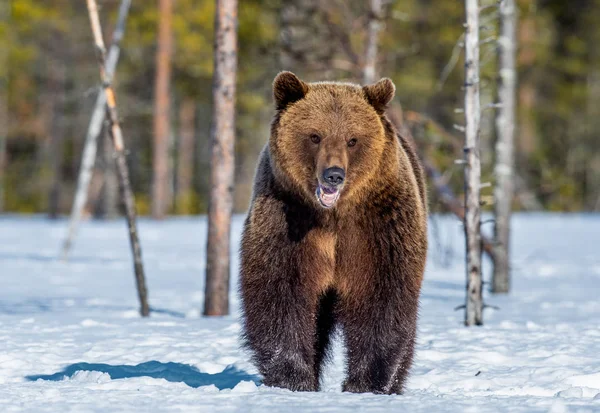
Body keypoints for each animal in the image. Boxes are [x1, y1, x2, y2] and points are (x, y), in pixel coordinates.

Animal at [238, 72, 426, 394]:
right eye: (315, 136)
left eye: (353, 140)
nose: (334, 174)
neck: (331, 216)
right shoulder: (288, 218)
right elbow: (281, 293)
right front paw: (293, 378)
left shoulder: (377, 227)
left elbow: (381, 295)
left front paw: (366, 383)